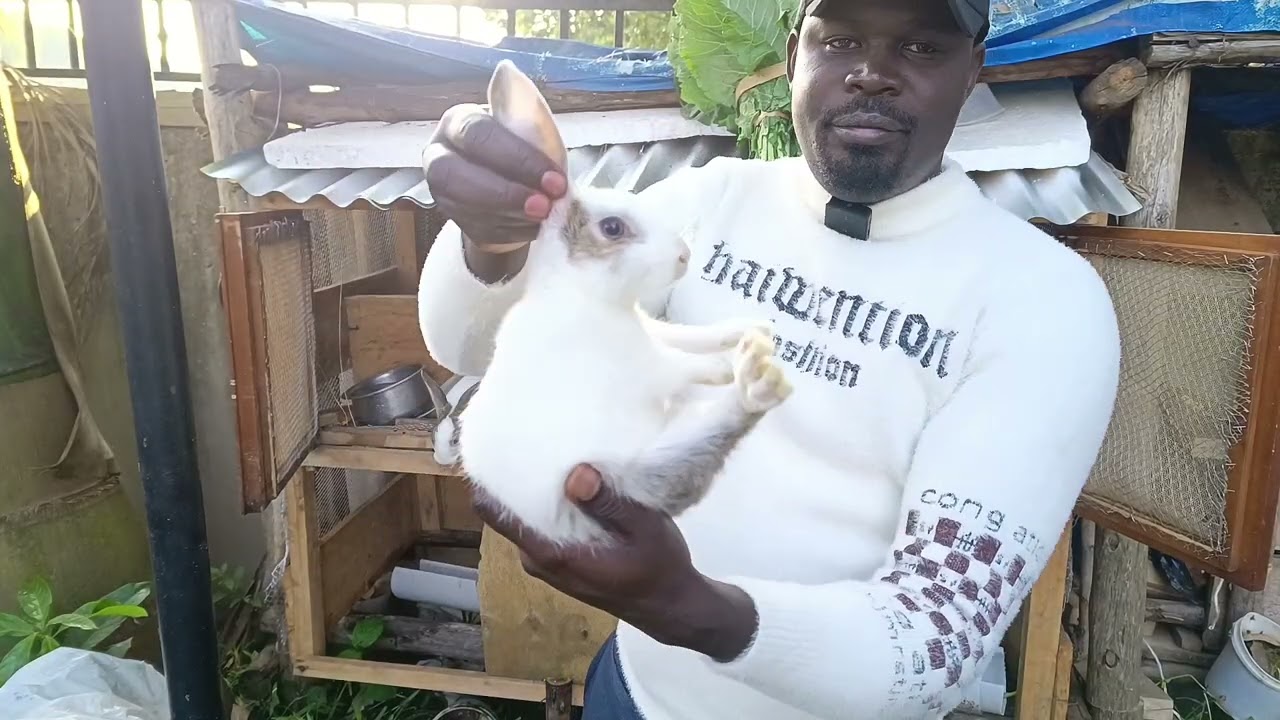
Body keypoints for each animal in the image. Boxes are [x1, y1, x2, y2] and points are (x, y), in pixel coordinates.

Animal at [441, 60, 794, 547]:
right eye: (612, 228)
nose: (684, 256)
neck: (587, 296)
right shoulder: (642, 363)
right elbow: (679, 365)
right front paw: (723, 365)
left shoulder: (653, 331)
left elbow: (690, 336)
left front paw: (749, 329)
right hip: (628, 470)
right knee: (725, 423)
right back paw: (756, 379)